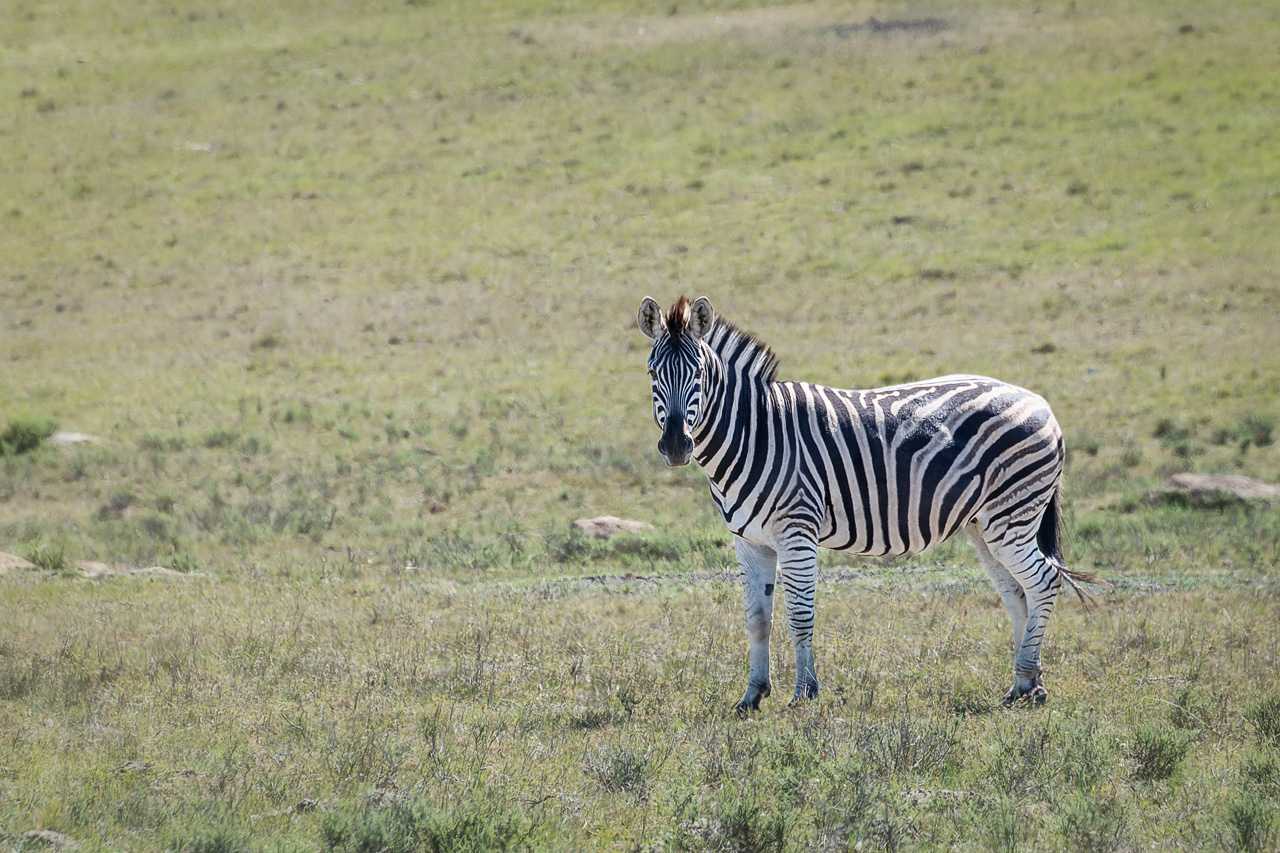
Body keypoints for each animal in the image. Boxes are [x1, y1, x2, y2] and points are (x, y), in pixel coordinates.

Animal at [637, 295, 1101, 710]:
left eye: (699, 373)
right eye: (652, 371)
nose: (676, 446)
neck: (756, 432)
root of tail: (1039, 401)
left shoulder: (797, 531)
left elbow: (799, 616)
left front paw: (804, 694)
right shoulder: (748, 540)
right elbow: (757, 620)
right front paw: (752, 695)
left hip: (1011, 517)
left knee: (1043, 582)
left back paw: (1028, 679)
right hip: (983, 526)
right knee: (1017, 593)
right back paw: (1025, 685)